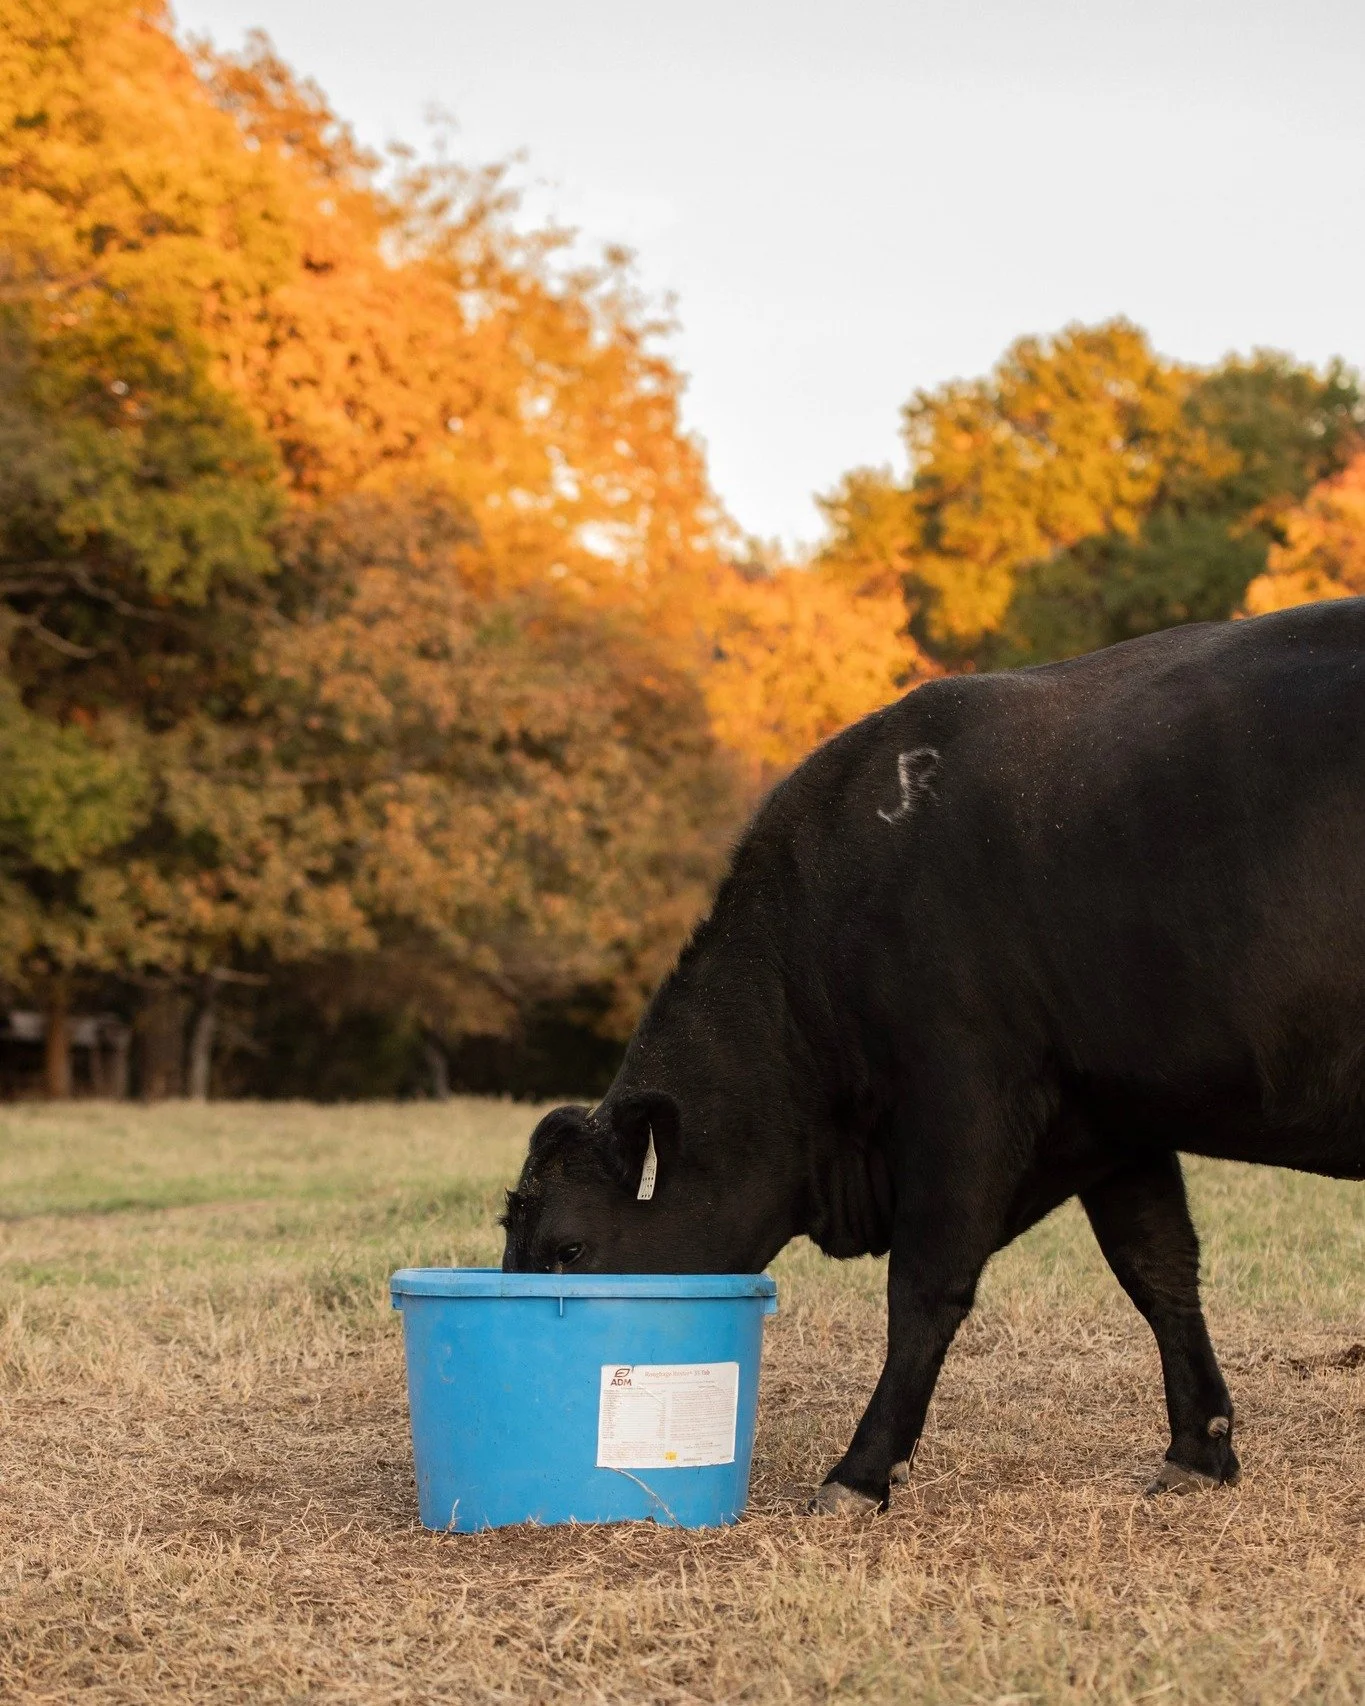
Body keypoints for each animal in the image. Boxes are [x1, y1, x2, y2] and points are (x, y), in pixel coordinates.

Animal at [501, 599, 1365, 1514]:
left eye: (568, 1249)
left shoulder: (964, 1100)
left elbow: (925, 1288)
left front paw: (859, 1471)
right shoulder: (1114, 1116)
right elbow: (1158, 1269)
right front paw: (1197, 1449)